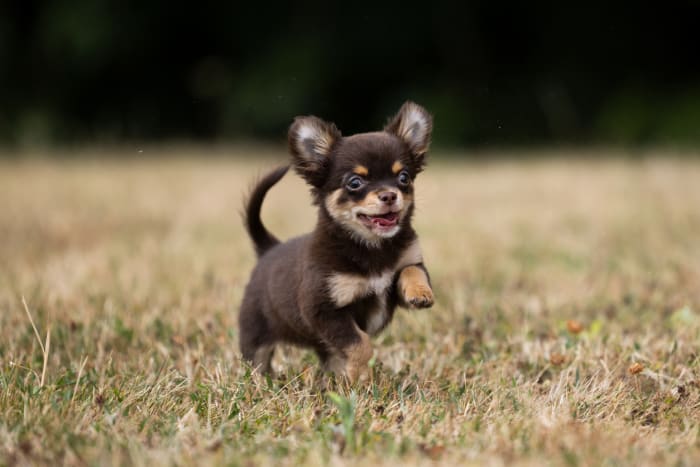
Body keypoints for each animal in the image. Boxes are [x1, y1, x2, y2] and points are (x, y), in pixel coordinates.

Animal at [241, 100, 438, 382]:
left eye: (404, 177)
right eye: (355, 183)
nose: (390, 195)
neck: (371, 246)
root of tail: (269, 248)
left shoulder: (405, 267)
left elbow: (412, 271)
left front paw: (420, 293)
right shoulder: (324, 310)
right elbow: (360, 343)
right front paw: (360, 377)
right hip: (255, 335)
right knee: (257, 361)